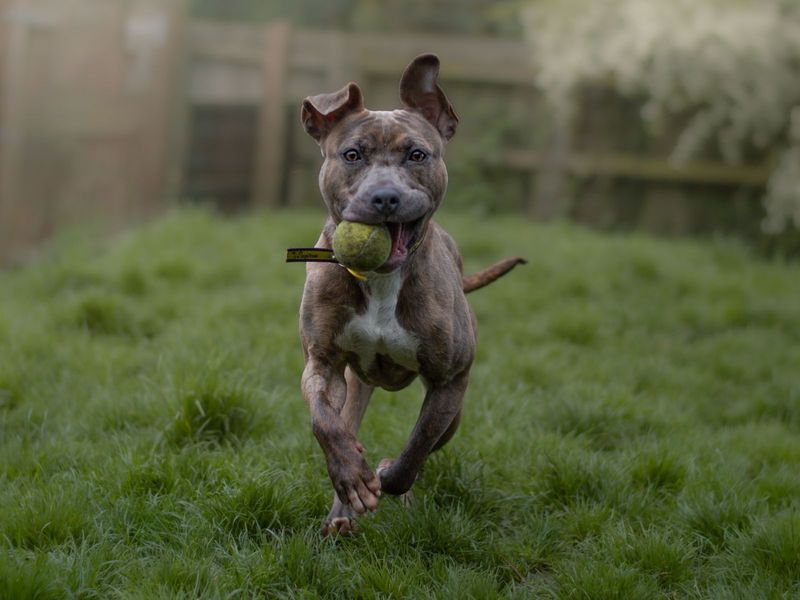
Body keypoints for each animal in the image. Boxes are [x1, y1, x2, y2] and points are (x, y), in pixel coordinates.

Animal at [296, 55, 520, 536]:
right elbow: (325, 422)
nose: (385, 197)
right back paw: (341, 513)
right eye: (352, 154)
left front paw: (386, 473)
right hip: (355, 386)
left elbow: (416, 448)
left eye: (417, 154)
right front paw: (351, 478)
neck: (381, 279)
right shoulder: (322, 363)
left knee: (429, 446)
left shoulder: (449, 382)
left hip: (456, 411)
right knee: (345, 424)